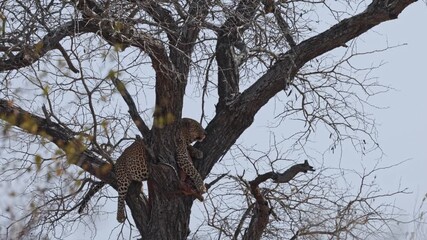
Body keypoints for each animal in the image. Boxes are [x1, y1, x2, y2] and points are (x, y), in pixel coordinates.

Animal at [79, 117, 209, 222]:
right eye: (198, 126)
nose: (205, 133)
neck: (183, 134)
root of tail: (118, 161)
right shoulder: (181, 157)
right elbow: (193, 171)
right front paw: (201, 187)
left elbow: (190, 149)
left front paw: (197, 152)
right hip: (123, 177)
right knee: (121, 197)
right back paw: (120, 216)